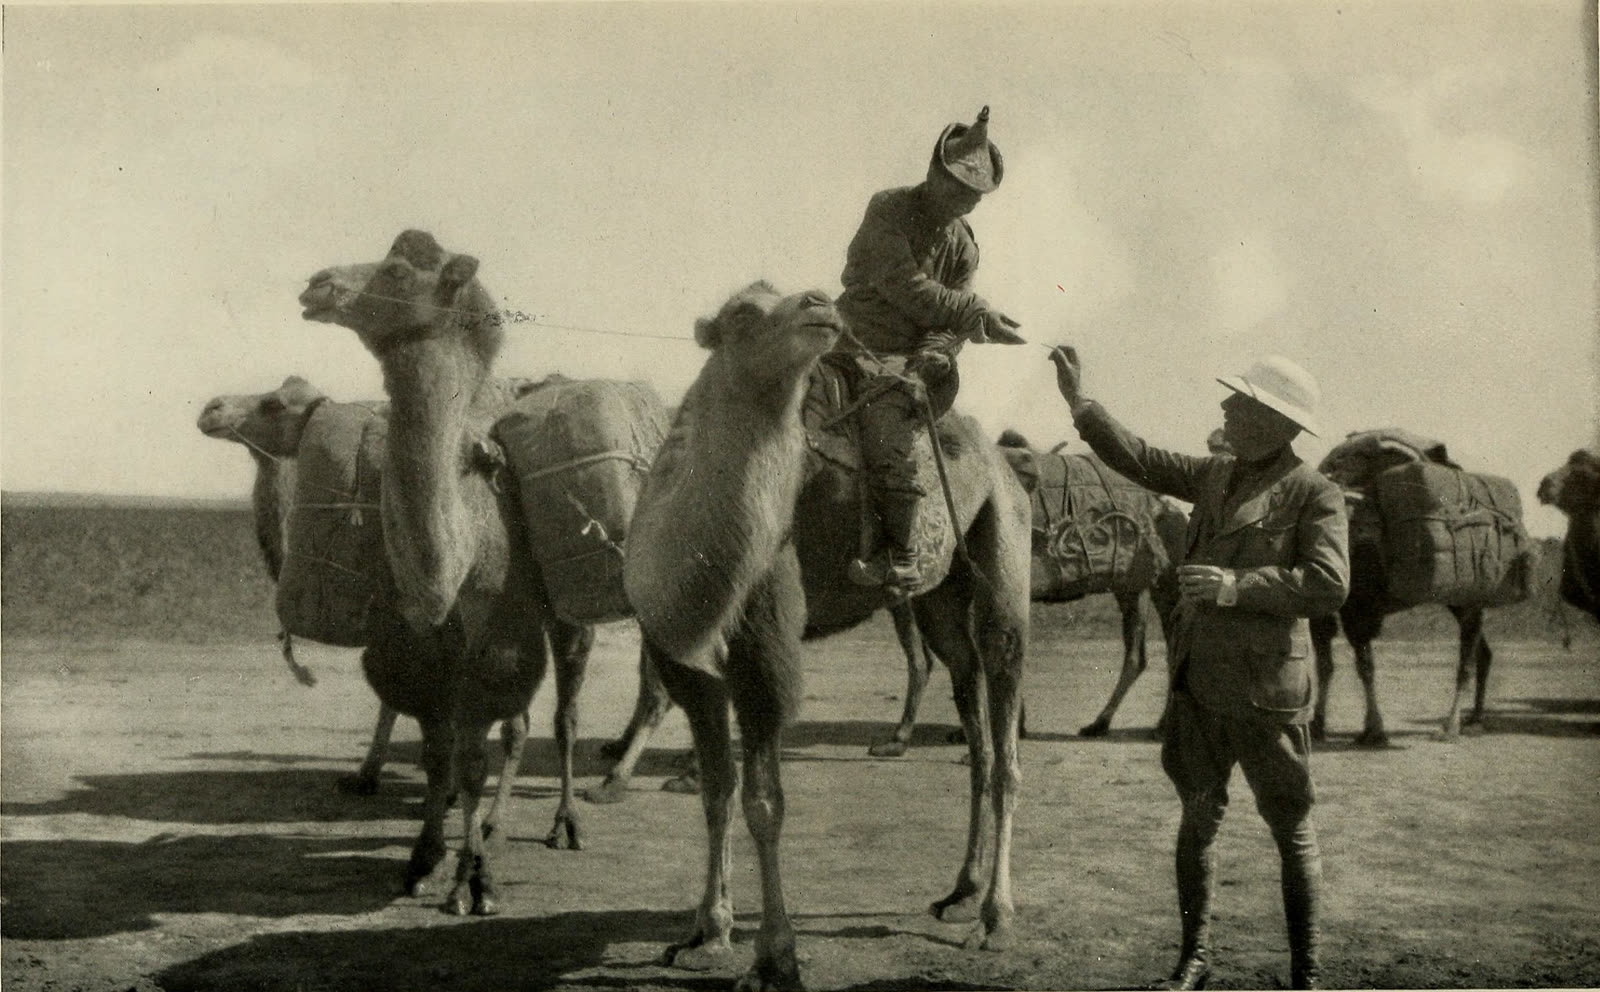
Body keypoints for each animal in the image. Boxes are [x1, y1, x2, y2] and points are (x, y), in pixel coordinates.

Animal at [298, 231, 608, 914]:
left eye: (396, 271)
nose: (316, 284)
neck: (449, 572)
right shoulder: (418, 662)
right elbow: (439, 758)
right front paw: (424, 859)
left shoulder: (495, 655)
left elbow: (471, 763)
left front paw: (475, 883)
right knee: (516, 729)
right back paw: (489, 828)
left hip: (563, 623)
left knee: (558, 718)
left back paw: (563, 824)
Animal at [624, 281, 1031, 990]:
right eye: (742, 312)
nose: (817, 303)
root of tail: (1002, 463)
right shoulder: (683, 661)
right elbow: (715, 790)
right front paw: (706, 932)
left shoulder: (765, 650)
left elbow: (764, 802)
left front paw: (774, 958)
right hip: (940, 599)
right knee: (971, 711)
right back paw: (958, 892)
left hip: (1004, 542)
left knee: (1004, 735)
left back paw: (995, 919)